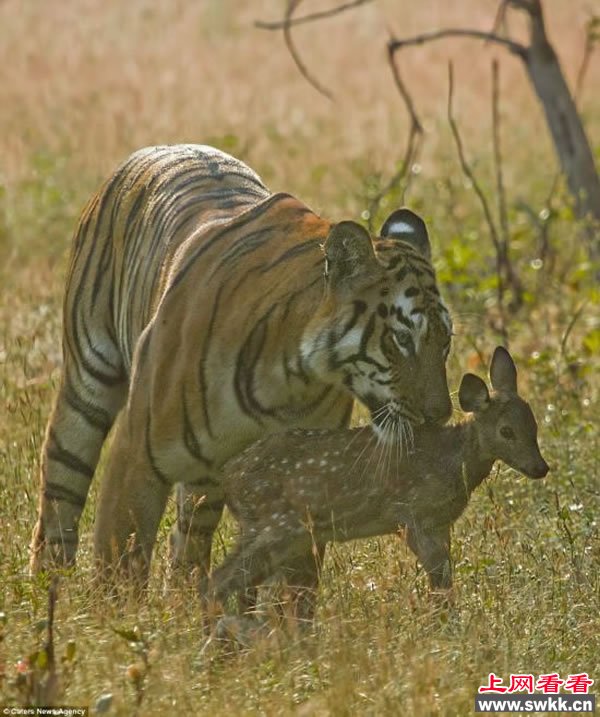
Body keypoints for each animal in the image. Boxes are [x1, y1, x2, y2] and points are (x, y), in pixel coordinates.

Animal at [27, 141, 450, 580]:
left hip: (206, 476)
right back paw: (47, 585)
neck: (291, 378)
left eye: (446, 341)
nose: (440, 415)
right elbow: (120, 560)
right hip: (86, 388)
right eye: (402, 338)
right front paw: (112, 601)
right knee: (59, 497)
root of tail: (161, 147)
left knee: (190, 541)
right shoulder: (136, 454)